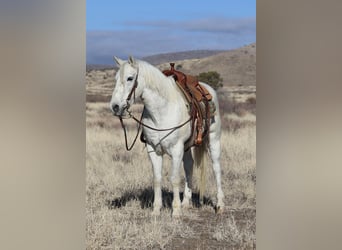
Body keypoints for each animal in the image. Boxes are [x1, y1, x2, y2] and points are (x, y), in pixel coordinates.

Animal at [109, 55, 224, 216]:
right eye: (115, 78)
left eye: (130, 78)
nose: (115, 107)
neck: (161, 111)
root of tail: (207, 88)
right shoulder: (153, 149)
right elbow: (157, 178)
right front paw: (156, 210)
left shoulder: (176, 149)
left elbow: (174, 178)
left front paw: (175, 211)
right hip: (187, 147)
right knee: (189, 166)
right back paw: (186, 202)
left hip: (213, 140)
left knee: (216, 168)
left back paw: (220, 205)